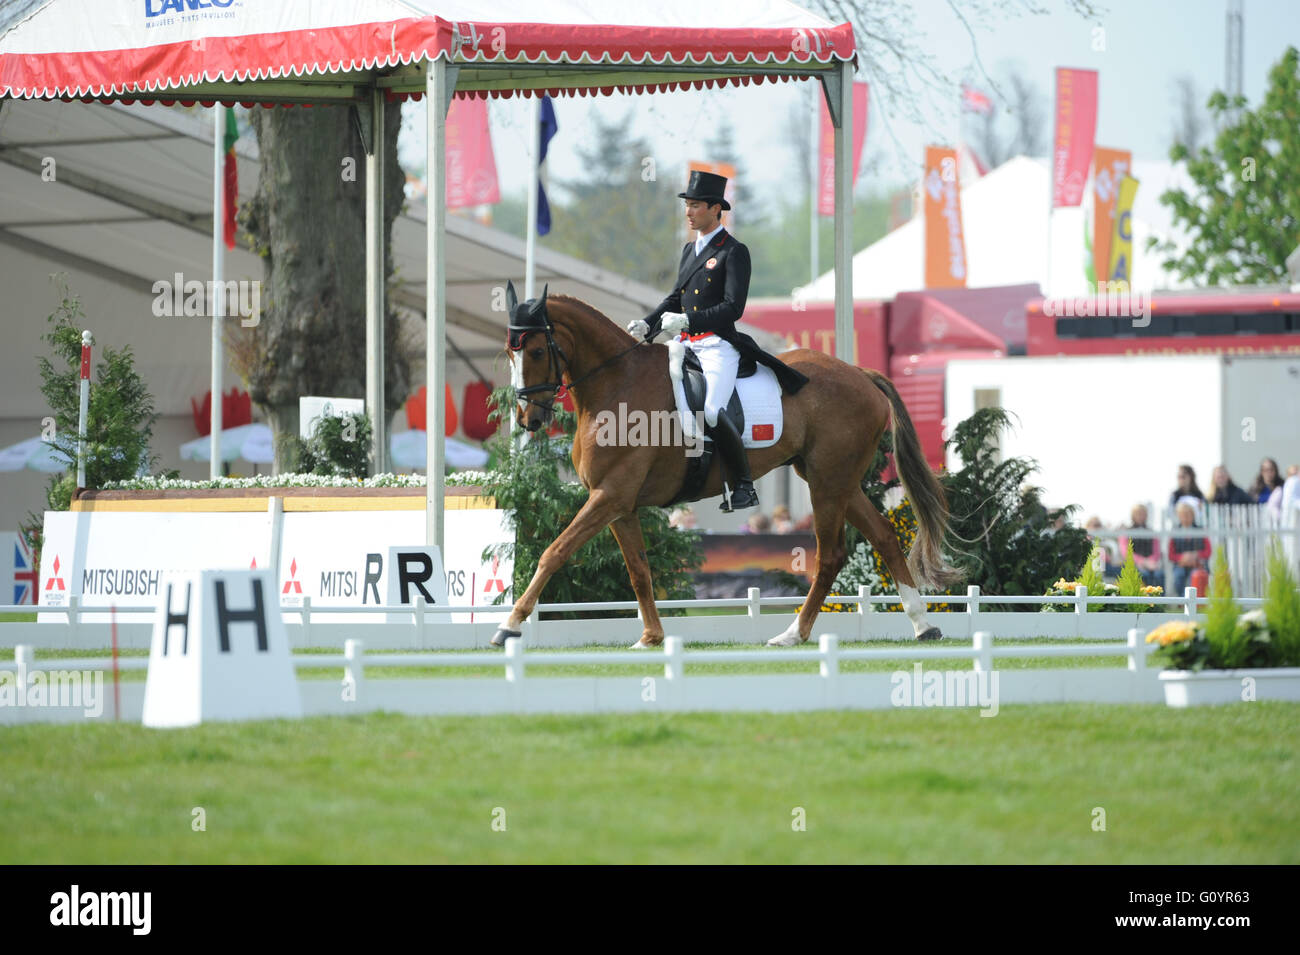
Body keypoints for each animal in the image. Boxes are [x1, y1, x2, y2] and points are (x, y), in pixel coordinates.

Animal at [491, 285, 961, 649]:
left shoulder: (609, 496)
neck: (616, 384)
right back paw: (922, 624)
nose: (529, 420)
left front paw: (508, 626)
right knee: (883, 537)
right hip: (835, 480)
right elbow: (639, 570)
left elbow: (553, 553)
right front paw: (651, 637)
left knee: (830, 555)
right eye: (509, 355)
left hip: (828, 483)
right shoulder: (619, 503)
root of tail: (861, 374)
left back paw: (793, 634)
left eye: (537, 350)